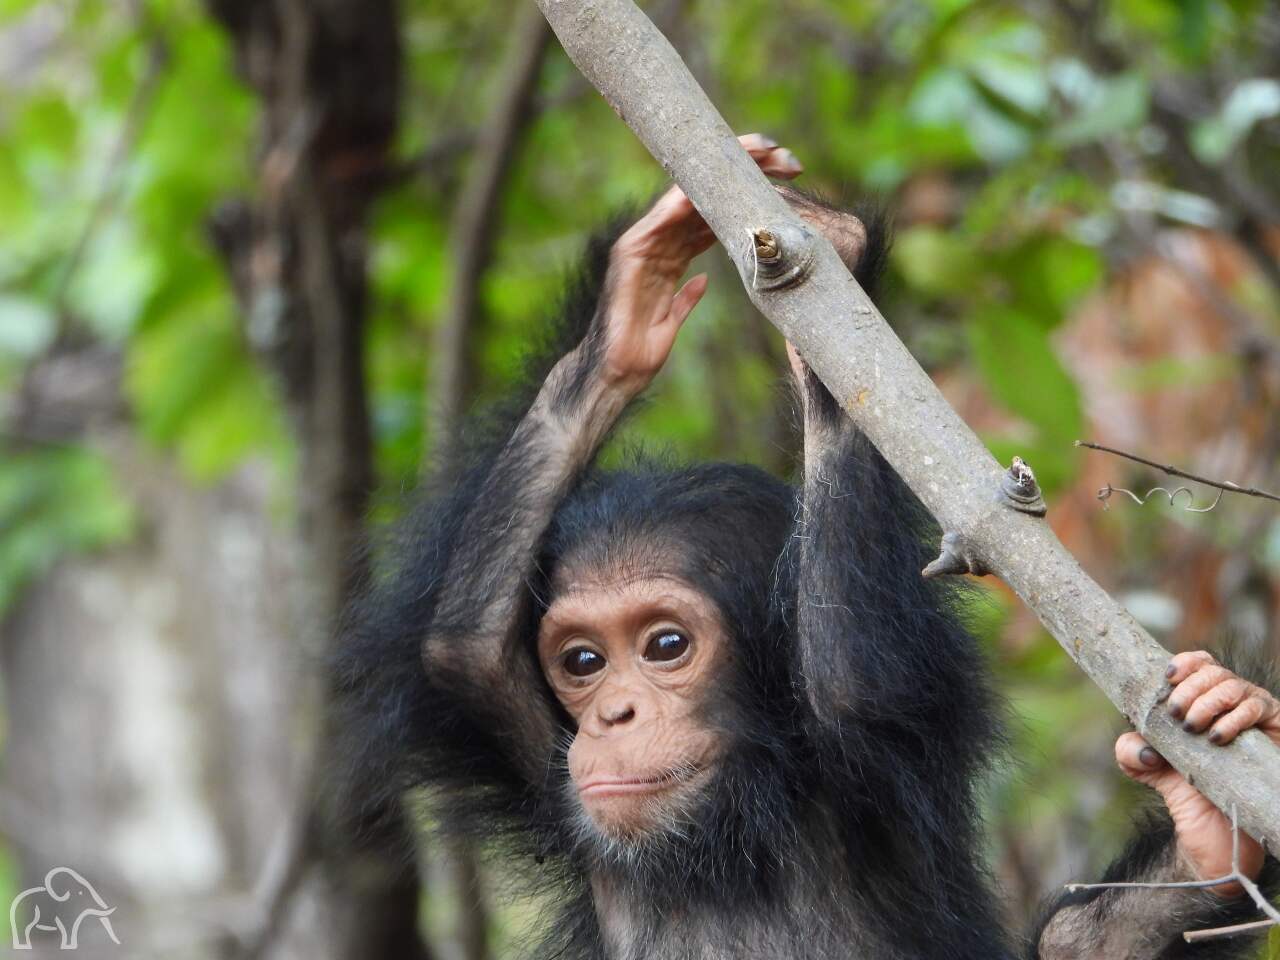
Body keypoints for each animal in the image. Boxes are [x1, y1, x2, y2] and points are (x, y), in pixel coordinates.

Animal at [340, 131, 1280, 957]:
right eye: (580, 662)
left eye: (665, 647)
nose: (612, 714)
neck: (738, 813)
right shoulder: (536, 752)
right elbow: (462, 651)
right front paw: (621, 319)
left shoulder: (872, 756)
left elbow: (853, 680)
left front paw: (833, 283)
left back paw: (1211, 819)